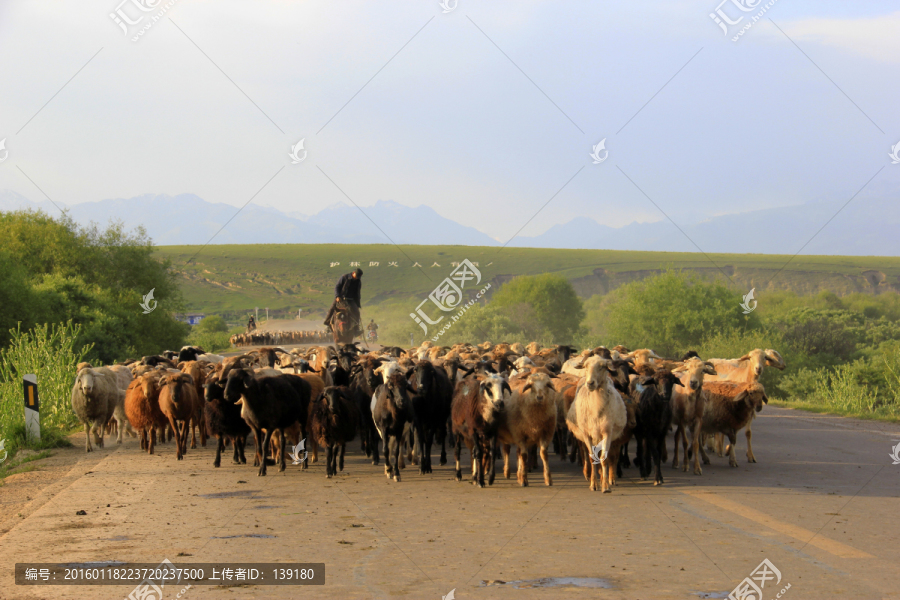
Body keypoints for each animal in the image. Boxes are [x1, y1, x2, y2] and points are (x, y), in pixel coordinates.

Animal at [568, 356, 624, 492]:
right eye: (586, 366)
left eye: (602, 367)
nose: (590, 383)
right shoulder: (587, 434)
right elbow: (591, 457)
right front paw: (594, 484)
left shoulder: (607, 432)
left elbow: (604, 458)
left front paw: (605, 486)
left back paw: (606, 477)